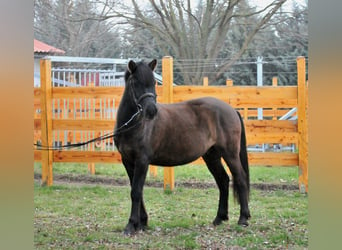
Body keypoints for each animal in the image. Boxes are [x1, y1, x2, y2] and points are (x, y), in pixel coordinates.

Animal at [113, 59, 250, 235]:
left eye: (153, 82)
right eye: (135, 82)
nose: (151, 111)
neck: (134, 125)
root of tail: (232, 110)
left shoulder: (142, 161)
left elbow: (136, 191)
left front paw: (131, 225)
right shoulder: (128, 161)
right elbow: (137, 190)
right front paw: (141, 223)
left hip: (230, 154)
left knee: (240, 179)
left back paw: (243, 219)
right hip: (211, 156)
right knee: (223, 180)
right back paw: (219, 218)